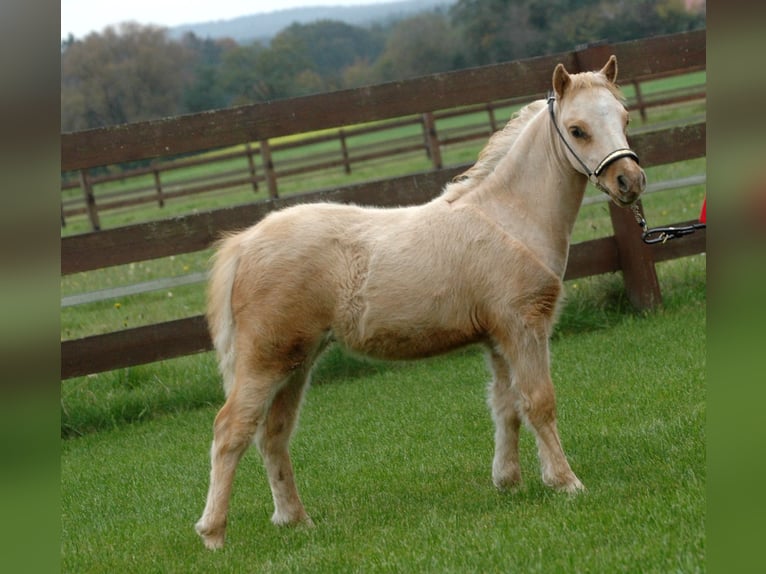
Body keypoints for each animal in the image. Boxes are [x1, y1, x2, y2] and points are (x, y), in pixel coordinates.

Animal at [195, 56, 644, 552]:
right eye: (577, 129)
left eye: (624, 118)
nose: (630, 181)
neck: (509, 217)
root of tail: (245, 243)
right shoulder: (523, 326)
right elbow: (539, 402)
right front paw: (566, 482)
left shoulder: (496, 337)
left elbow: (505, 405)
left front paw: (508, 481)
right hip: (266, 359)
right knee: (230, 430)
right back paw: (214, 535)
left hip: (296, 362)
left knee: (273, 434)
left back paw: (295, 520)